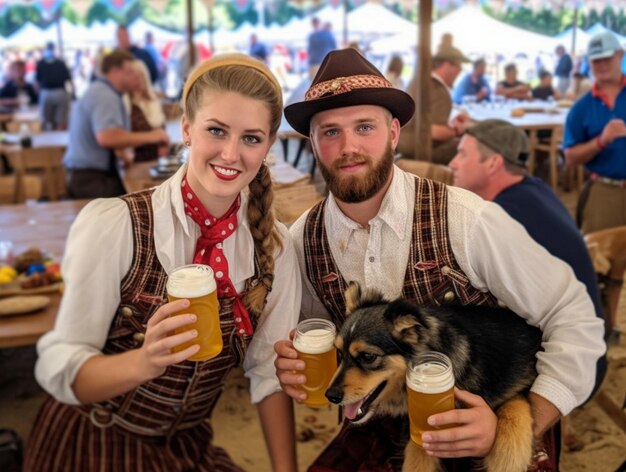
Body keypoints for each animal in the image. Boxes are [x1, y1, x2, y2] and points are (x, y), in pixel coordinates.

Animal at [324, 284, 544, 472]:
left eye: (368, 357)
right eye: (340, 353)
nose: (330, 396)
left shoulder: (524, 379)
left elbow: (515, 408)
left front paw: (507, 458)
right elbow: (416, 458)